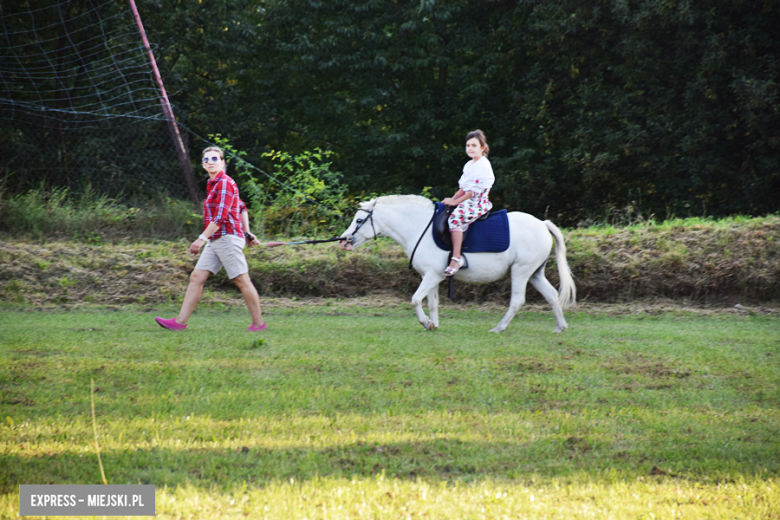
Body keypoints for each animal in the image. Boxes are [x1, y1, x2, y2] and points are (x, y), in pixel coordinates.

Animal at [338, 195, 576, 334]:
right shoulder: (431, 276)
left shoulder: (432, 276)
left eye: (359, 220)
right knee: (552, 295)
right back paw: (560, 327)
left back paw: (498, 328)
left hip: (521, 271)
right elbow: (432, 302)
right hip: (535, 273)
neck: (419, 227)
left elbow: (415, 299)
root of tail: (542, 224)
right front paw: (433, 324)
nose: (343, 240)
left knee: (517, 301)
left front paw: (424, 322)